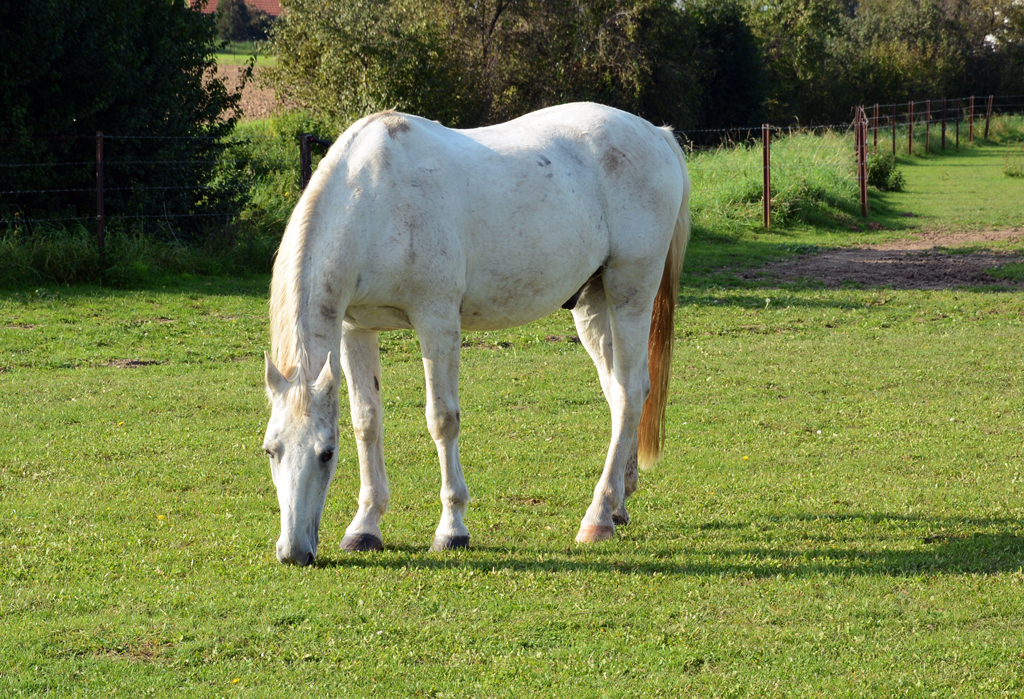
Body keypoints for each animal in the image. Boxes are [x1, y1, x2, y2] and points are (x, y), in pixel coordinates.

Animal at [262, 101, 688, 564]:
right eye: (270, 450)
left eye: (325, 453)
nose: (293, 551)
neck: (374, 200)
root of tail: (655, 133)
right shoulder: (356, 328)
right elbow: (366, 421)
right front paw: (365, 527)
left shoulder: (437, 321)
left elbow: (442, 420)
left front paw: (451, 529)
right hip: (593, 304)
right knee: (621, 394)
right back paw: (619, 503)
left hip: (631, 291)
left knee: (629, 392)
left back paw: (597, 517)